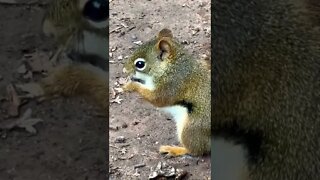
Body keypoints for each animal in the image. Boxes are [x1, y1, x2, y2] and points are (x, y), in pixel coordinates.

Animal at [121, 28, 211, 156]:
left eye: (140, 64)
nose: (124, 70)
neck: (171, 67)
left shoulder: (172, 84)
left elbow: (158, 99)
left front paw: (132, 86)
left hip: (191, 128)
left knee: (196, 150)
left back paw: (174, 149)